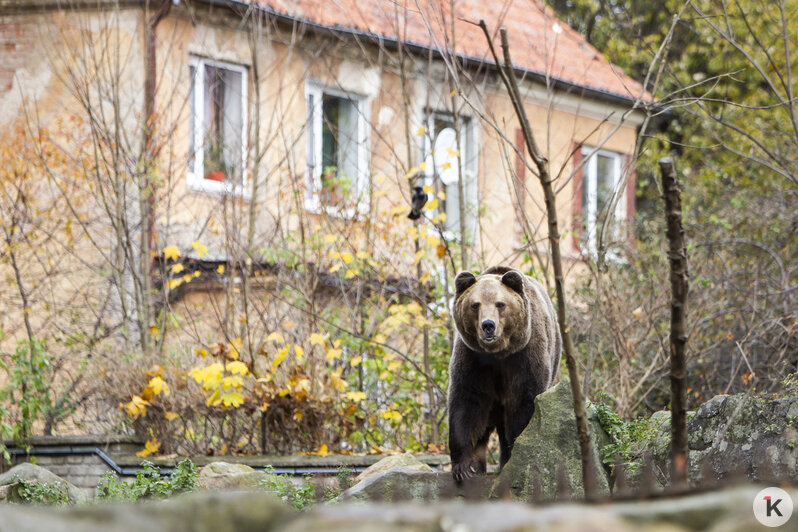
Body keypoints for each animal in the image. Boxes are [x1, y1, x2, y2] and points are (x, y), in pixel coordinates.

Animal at [450, 266, 564, 482]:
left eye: (500, 303)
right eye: (475, 305)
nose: (488, 325)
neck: (498, 353)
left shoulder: (524, 356)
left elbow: (524, 405)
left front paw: (516, 457)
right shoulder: (473, 359)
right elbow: (467, 403)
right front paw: (465, 467)